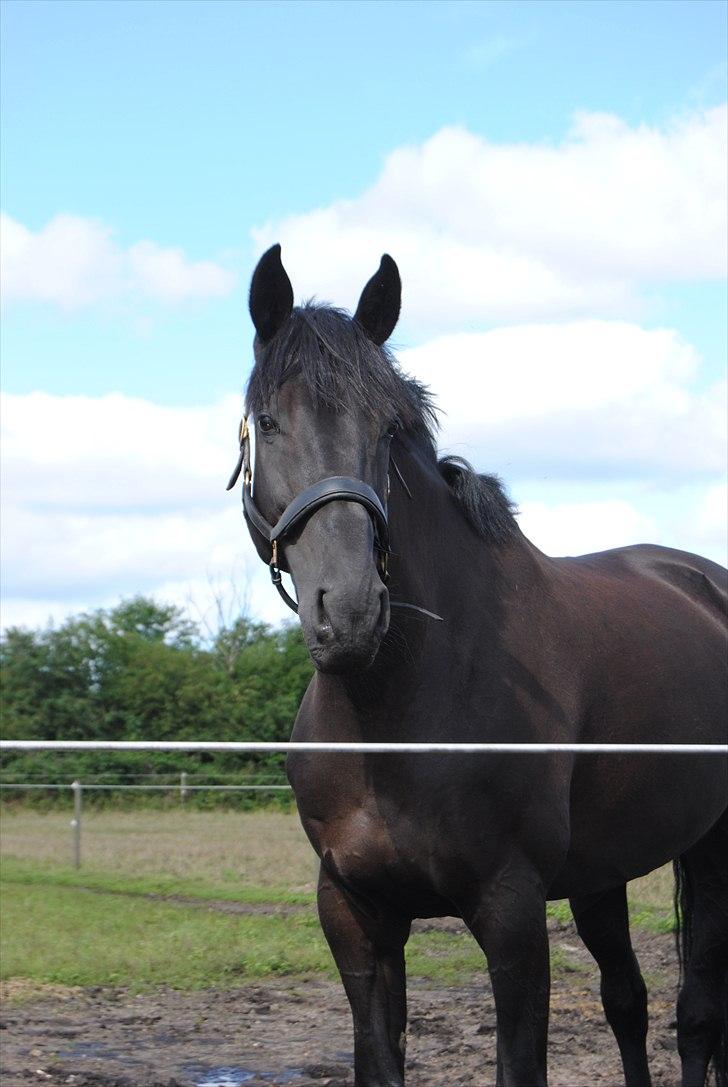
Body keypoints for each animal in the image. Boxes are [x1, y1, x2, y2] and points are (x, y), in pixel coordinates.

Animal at [236, 246, 725, 1087]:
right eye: (268, 422)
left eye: (389, 428)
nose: (351, 610)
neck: (392, 715)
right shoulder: (356, 914)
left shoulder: (512, 912)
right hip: (605, 871)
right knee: (628, 1001)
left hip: (716, 846)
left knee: (698, 1015)